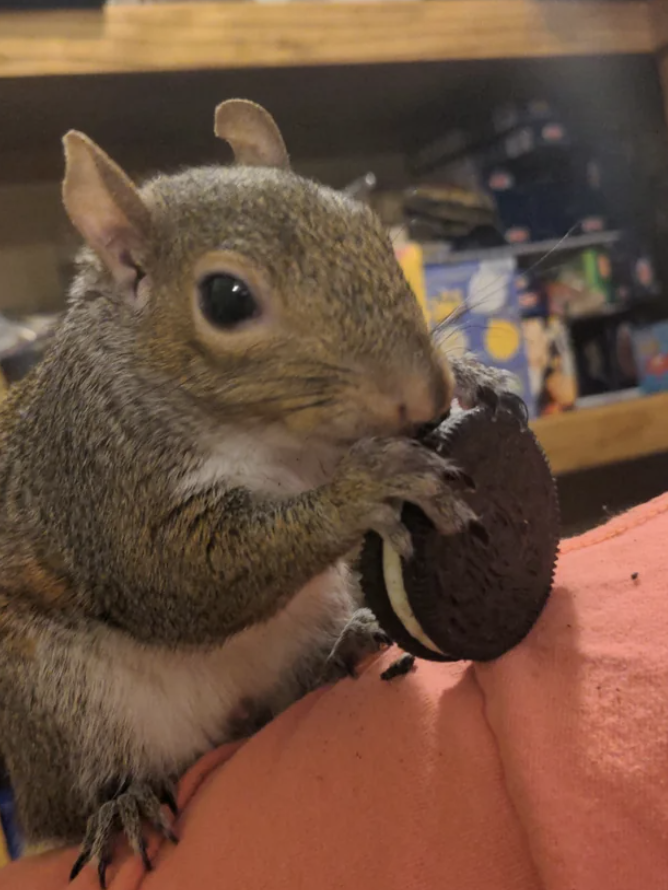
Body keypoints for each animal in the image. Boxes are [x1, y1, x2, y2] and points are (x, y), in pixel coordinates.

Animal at [0, 100, 516, 884]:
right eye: (226, 298)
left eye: (368, 228)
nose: (425, 393)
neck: (280, 438)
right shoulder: (99, 482)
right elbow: (177, 579)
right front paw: (365, 487)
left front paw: (473, 373)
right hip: (62, 703)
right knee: (92, 784)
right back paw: (122, 806)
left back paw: (348, 644)